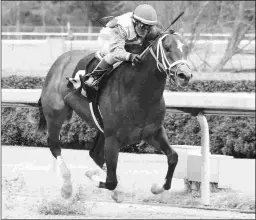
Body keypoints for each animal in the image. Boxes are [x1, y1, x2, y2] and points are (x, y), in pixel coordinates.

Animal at [36, 28, 192, 203]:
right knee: (55, 145)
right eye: (166, 47)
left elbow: (173, 157)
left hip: (100, 126)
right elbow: (111, 181)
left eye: (186, 48)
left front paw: (156, 188)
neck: (138, 92)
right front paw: (93, 176)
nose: (184, 75)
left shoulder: (152, 132)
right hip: (55, 114)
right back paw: (67, 187)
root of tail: (60, 60)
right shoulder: (113, 138)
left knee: (95, 154)